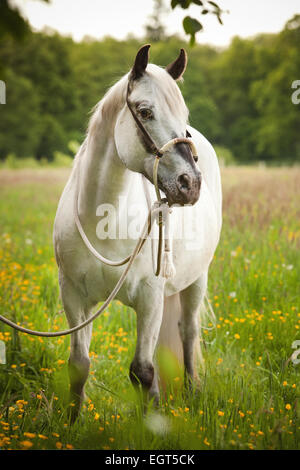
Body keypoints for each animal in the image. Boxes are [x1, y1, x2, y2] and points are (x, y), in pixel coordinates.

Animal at [54, 44, 221, 418]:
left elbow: (142, 371)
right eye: (145, 112)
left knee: (188, 332)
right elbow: (78, 365)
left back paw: (192, 391)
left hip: (196, 280)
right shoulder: (74, 296)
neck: (102, 218)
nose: (190, 184)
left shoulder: (149, 296)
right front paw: (70, 422)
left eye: (184, 115)